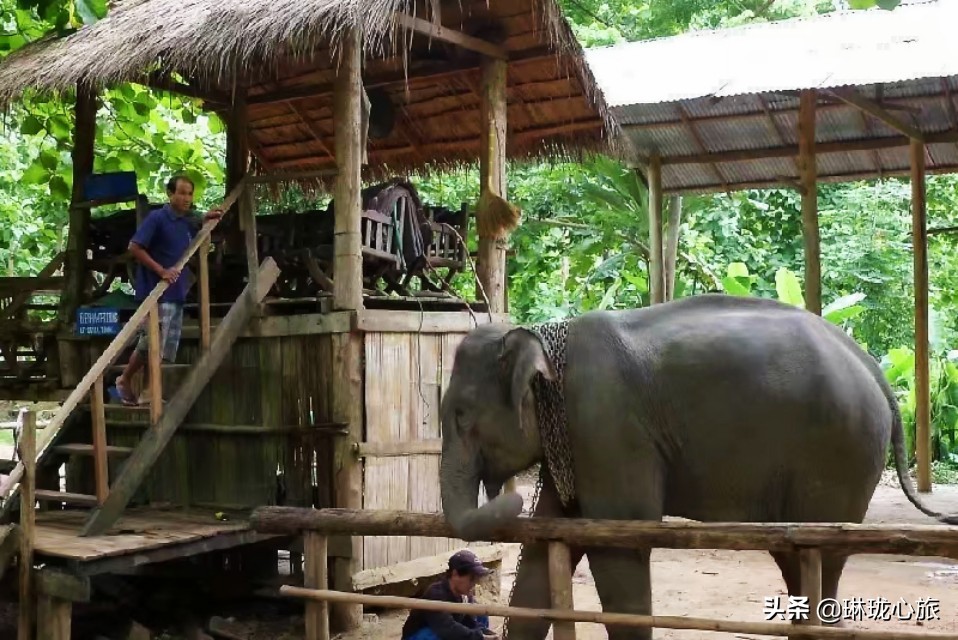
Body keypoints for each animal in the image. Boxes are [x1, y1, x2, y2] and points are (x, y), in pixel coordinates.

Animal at [440, 294, 958, 640]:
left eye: (461, 415)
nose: (508, 496)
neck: (544, 336)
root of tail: (873, 368)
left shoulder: (606, 425)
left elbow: (618, 539)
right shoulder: (574, 442)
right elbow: (548, 543)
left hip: (839, 455)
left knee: (822, 558)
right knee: (796, 558)